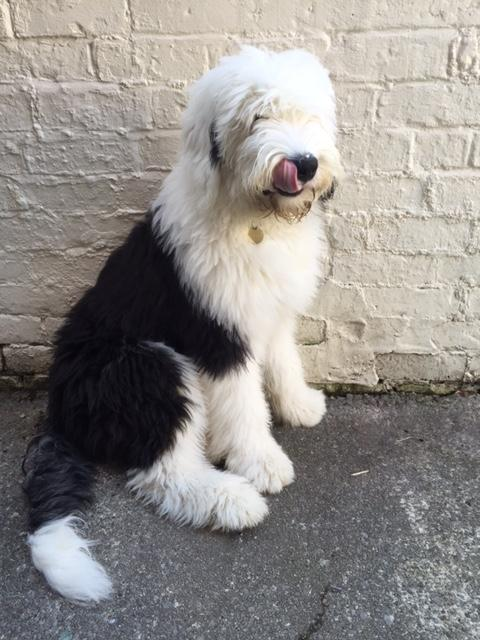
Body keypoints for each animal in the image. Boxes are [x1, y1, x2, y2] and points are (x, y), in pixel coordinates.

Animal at [22, 47, 344, 604]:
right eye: (257, 117)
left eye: (308, 115)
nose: (304, 163)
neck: (253, 220)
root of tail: (59, 411)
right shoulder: (217, 334)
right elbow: (242, 403)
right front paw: (261, 462)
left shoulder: (269, 311)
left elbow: (283, 358)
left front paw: (300, 405)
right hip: (148, 365)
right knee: (162, 470)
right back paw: (231, 500)